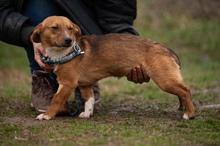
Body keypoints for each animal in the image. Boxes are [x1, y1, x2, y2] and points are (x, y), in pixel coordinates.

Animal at [30, 16, 194, 120]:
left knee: (185, 90)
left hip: (164, 80)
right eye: (54, 28)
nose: (68, 40)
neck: (64, 53)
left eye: (70, 29)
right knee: (182, 90)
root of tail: (167, 49)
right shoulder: (85, 85)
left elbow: (56, 99)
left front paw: (47, 115)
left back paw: (190, 114)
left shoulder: (67, 83)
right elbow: (88, 100)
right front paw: (87, 114)